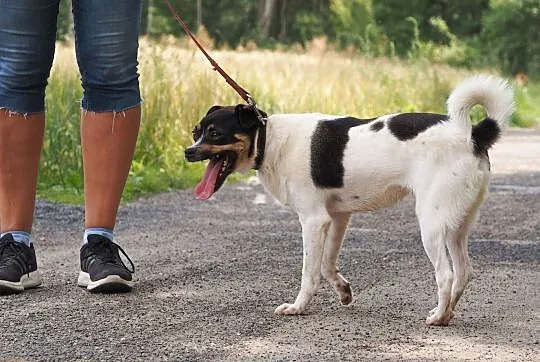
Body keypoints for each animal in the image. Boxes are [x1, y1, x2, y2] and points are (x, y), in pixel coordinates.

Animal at [185, 75, 516, 326]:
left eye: (215, 133)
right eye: (196, 131)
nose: (188, 151)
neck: (270, 141)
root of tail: (473, 135)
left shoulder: (313, 220)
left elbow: (309, 272)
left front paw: (298, 307)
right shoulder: (338, 217)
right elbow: (327, 264)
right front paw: (344, 291)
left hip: (432, 223)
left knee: (446, 274)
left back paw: (437, 317)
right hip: (457, 225)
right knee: (464, 272)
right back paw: (446, 314)